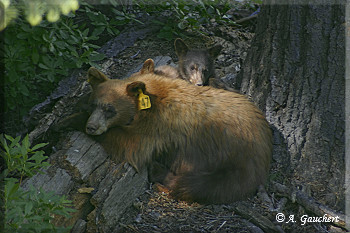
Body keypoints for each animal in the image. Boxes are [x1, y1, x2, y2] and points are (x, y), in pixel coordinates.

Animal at [85, 62, 274, 204]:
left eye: (110, 110)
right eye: (93, 104)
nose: (91, 126)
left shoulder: (158, 124)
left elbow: (132, 146)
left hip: (236, 160)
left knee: (199, 185)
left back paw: (158, 171)